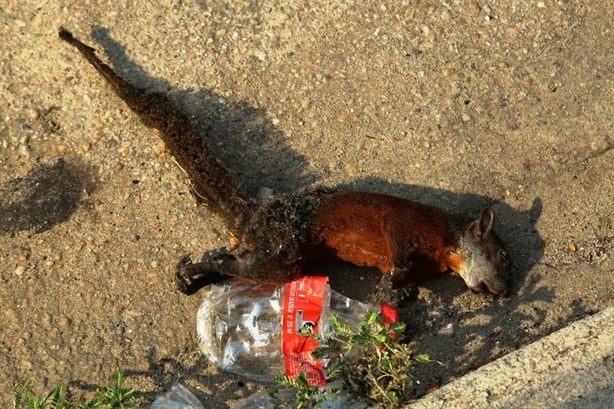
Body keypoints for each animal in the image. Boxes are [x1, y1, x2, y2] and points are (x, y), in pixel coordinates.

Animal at [59, 27, 510, 302]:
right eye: (503, 258)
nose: (505, 291)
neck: (446, 246)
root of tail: (254, 214)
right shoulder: (407, 222)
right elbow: (396, 246)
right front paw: (396, 287)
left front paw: (401, 296)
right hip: (285, 250)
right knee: (236, 263)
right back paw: (190, 270)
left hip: (278, 252)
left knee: (233, 264)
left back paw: (196, 277)